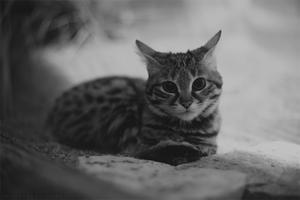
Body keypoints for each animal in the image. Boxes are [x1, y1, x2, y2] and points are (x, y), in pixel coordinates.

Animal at [46, 30, 223, 166]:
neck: (185, 128)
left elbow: (205, 148)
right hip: (121, 98)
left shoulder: (210, 144)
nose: (186, 103)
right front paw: (180, 151)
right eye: (169, 87)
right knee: (132, 150)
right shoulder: (146, 135)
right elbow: (141, 148)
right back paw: (183, 151)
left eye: (199, 83)